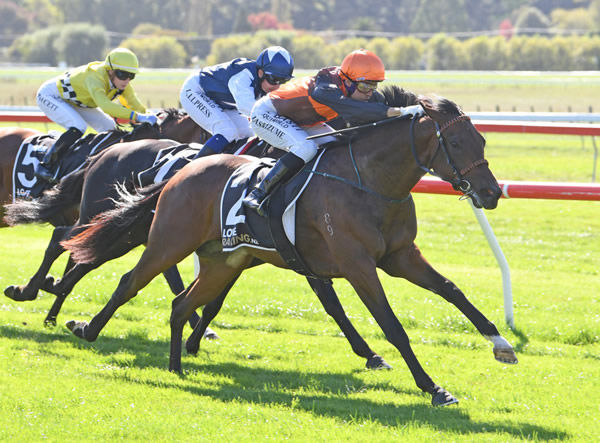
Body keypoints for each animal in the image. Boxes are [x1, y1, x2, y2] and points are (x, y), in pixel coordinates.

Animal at [63, 85, 516, 408]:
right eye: (455, 144)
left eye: (482, 141)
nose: (492, 193)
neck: (370, 181)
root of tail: (182, 172)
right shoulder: (357, 265)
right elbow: (392, 326)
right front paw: (433, 388)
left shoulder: (400, 256)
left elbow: (452, 291)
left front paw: (502, 345)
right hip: (169, 241)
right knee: (129, 281)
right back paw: (86, 328)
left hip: (223, 261)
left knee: (182, 303)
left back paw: (176, 366)